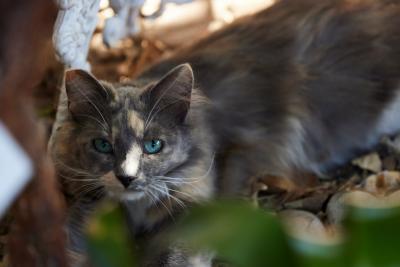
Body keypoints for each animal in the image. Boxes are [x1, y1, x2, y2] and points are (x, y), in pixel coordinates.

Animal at [50, 0, 400, 266]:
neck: (135, 210)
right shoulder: (88, 210)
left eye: (153, 145)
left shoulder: (196, 208)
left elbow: (174, 257)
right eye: (102, 145)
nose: (126, 177)